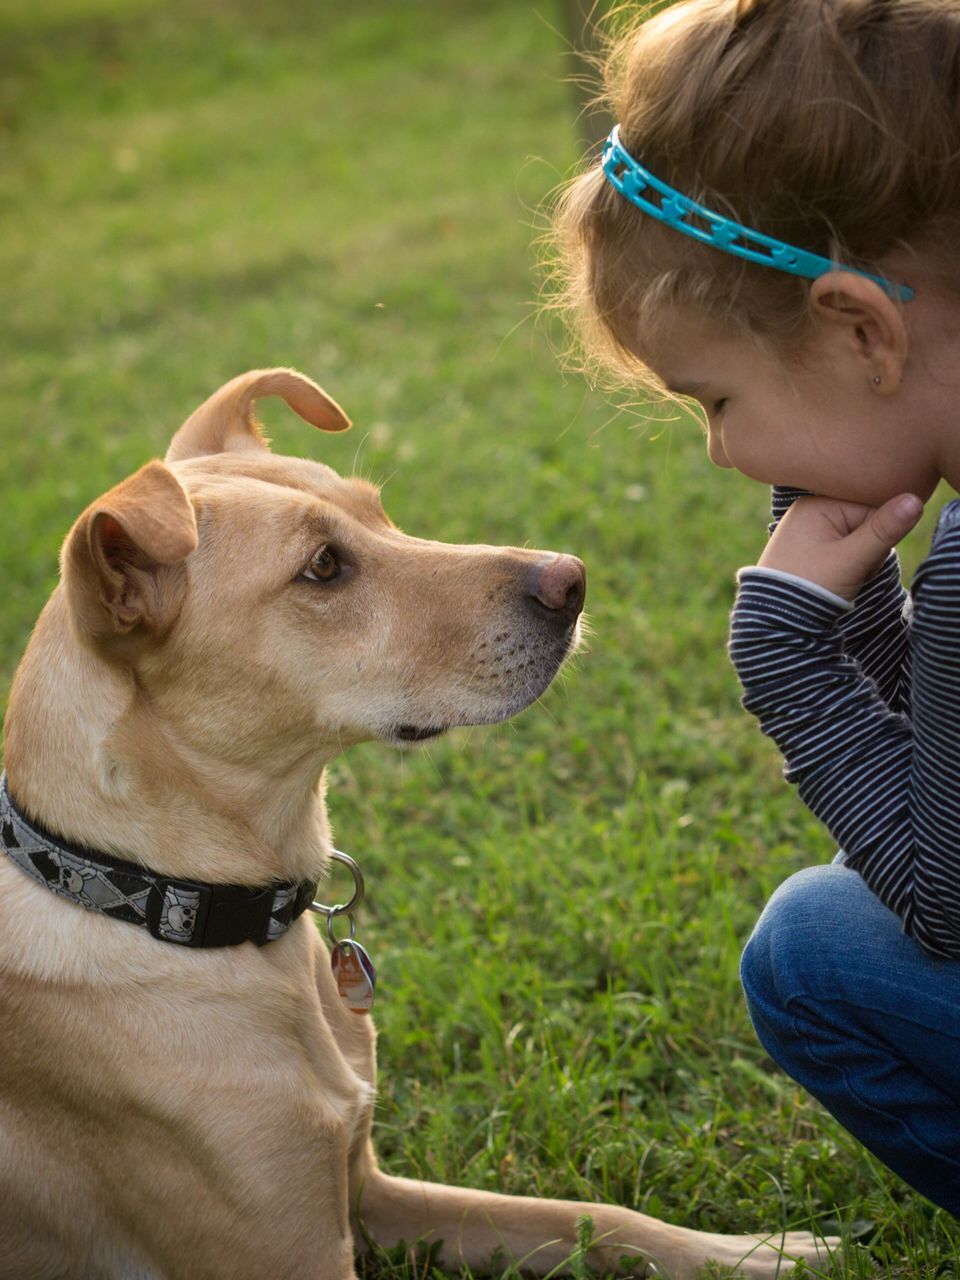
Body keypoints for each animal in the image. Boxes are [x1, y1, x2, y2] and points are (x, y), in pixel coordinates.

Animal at [0, 366, 829, 1274]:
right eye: (324, 566)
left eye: (379, 513)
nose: (572, 579)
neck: (155, 896)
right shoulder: (300, 1255)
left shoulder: (369, 1194)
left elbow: (595, 1217)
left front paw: (759, 1251)